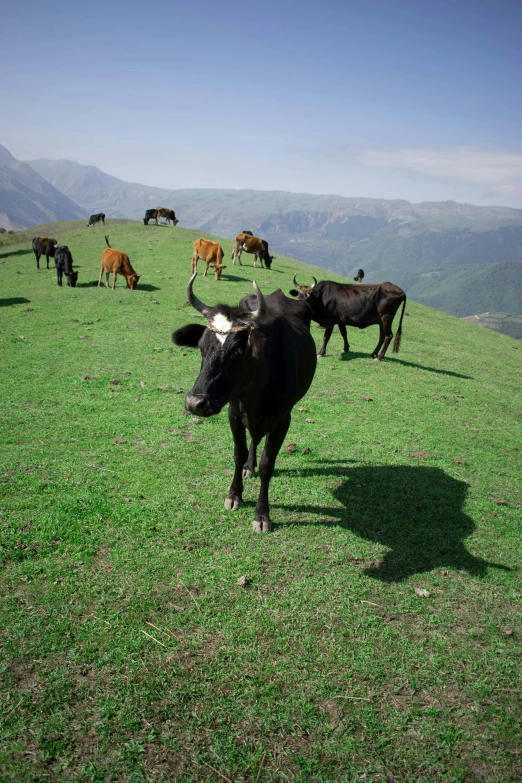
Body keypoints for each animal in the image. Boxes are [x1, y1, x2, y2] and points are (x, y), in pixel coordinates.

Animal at [173, 274, 314, 532]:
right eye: (201, 347)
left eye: (238, 351)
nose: (194, 402)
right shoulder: (234, 412)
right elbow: (239, 454)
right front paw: (234, 494)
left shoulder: (283, 419)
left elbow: (268, 465)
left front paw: (262, 515)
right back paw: (249, 466)